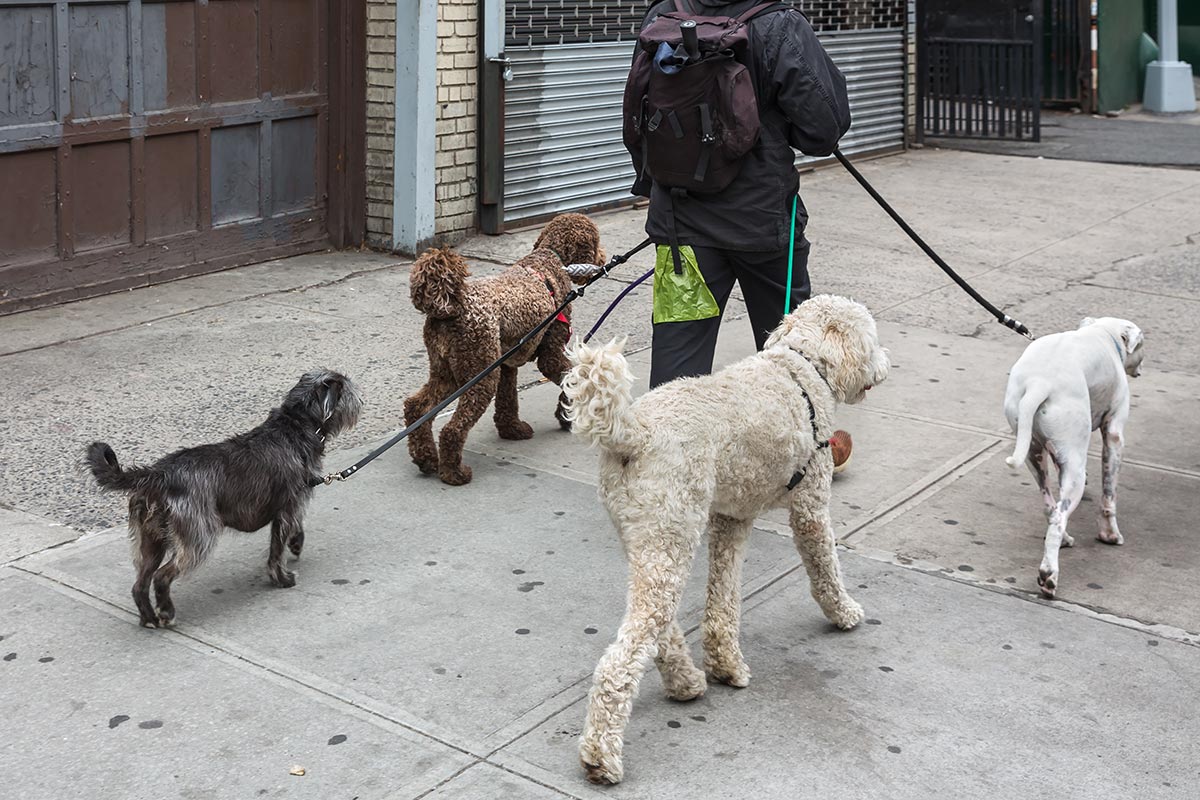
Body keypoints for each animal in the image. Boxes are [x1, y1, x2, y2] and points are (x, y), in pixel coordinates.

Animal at [85, 371, 360, 628]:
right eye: (348, 390)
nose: (362, 400)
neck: (295, 425)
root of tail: (158, 474)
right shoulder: (288, 508)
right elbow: (276, 550)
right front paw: (281, 578)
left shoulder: (287, 509)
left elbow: (294, 530)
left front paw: (296, 544)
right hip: (198, 537)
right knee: (162, 576)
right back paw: (166, 613)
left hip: (151, 541)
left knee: (140, 583)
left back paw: (149, 617)